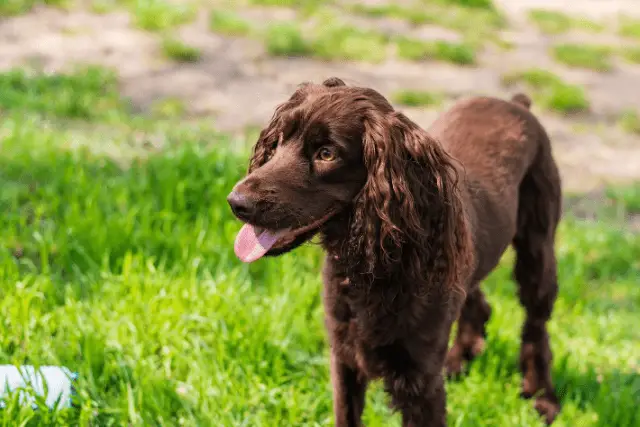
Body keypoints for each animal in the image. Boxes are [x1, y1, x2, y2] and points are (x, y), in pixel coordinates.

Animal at [226, 78, 560, 426]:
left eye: (326, 153)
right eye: (277, 142)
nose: (236, 203)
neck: (372, 267)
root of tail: (516, 103)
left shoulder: (420, 380)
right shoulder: (344, 357)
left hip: (538, 251)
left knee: (536, 327)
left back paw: (542, 397)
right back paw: (460, 359)